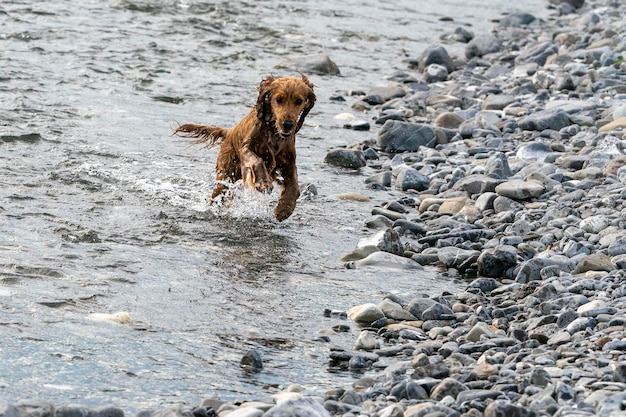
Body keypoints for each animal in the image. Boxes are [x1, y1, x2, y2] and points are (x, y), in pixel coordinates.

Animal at [173, 73, 314, 221]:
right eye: (278, 99)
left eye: (299, 101)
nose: (288, 124)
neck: (273, 132)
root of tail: (229, 132)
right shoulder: (246, 149)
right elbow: (257, 160)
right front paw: (263, 182)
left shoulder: (288, 161)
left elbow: (294, 186)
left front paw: (285, 208)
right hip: (226, 173)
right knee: (216, 196)